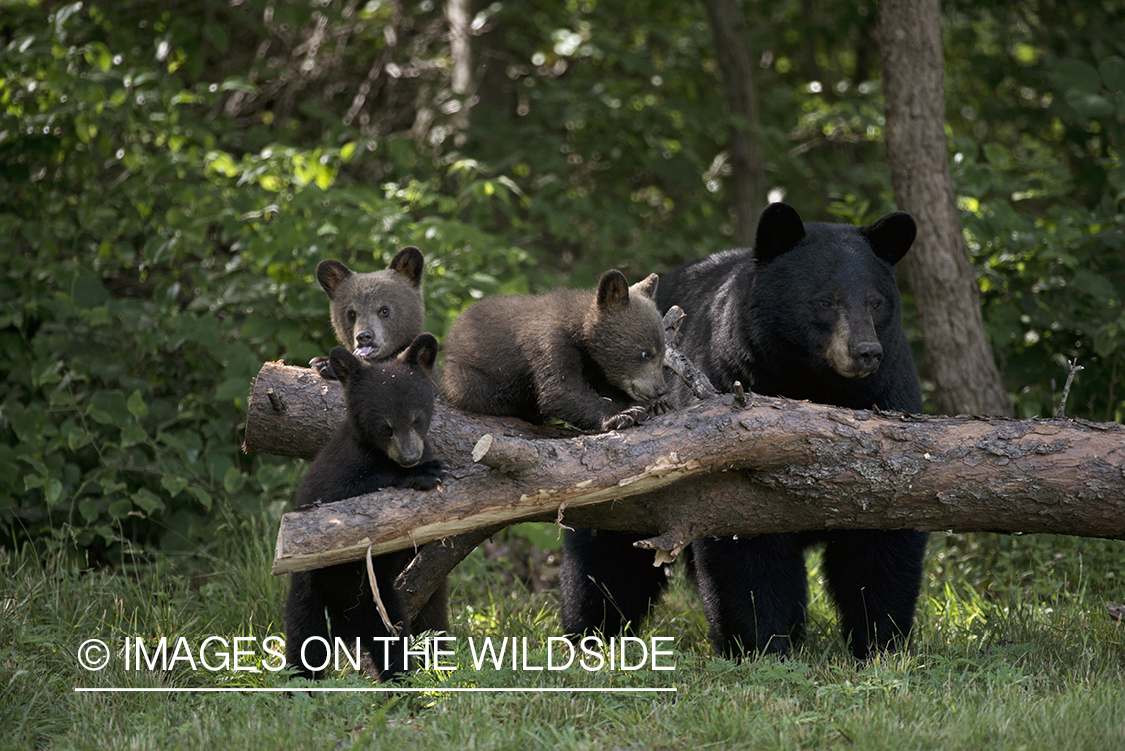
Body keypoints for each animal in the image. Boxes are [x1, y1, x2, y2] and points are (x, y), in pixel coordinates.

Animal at [283, 335, 445, 679]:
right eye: (385, 426)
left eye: (417, 418)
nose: (410, 457)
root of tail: (348, 629)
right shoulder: (335, 472)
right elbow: (338, 497)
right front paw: (424, 473)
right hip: (311, 598)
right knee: (304, 649)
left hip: (383, 606)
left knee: (397, 647)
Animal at [438, 270, 666, 433]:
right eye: (645, 353)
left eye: (663, 353)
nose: (661, 389)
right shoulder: (549, 342)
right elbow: (560, 390)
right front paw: (624, 414)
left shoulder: (595, 364)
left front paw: (656, 405)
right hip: (465, 375)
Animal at [558, 202, 927, 661]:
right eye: (826, 300)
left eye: (876, 301)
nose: (866, 352)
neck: (813, 386)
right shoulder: (731, 389)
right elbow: (744, 544)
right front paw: (760, 645)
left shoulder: (887, 402)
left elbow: (882, 536)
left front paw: (880, 644)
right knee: (605, 560)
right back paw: (588, 636)